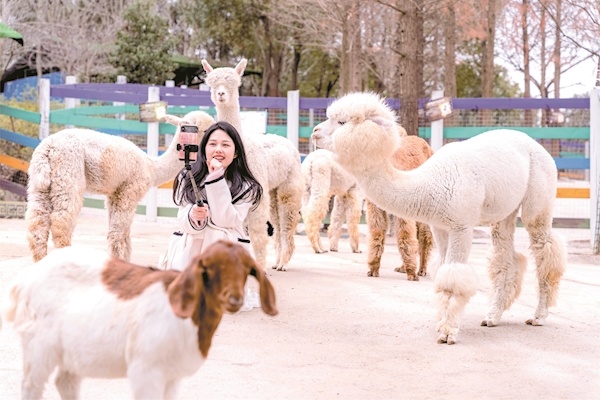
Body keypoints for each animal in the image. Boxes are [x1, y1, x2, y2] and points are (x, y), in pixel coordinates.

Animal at [1, 240, 278, 400]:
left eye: (247, 270)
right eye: (209, 269)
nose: (234, 298)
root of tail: (26, 279)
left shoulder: (172, 376)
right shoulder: (145, 370)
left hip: (73, 351)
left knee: (66, 382)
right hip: (39, 346)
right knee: (31, 386)